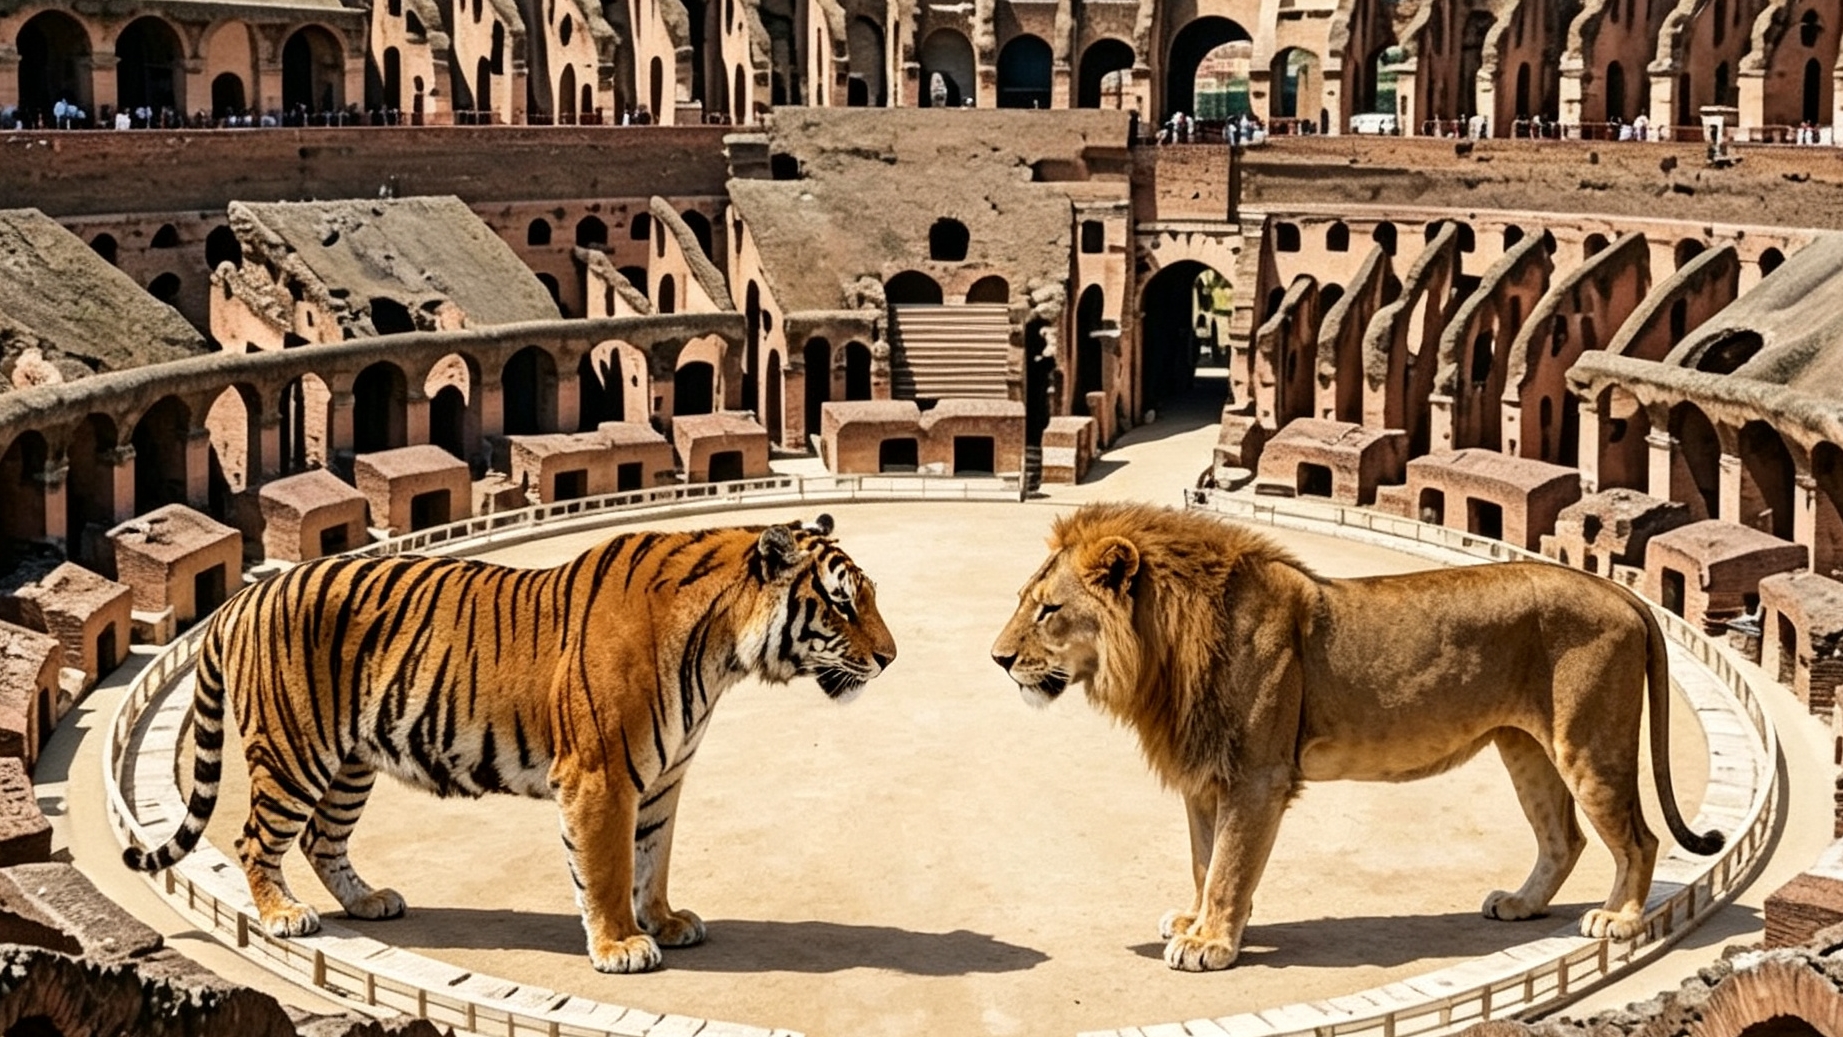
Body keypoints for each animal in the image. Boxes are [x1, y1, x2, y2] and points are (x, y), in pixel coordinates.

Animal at [124, 514, 895, 973]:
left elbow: (653, 858)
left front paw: (665, 920)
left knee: (322, 838)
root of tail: (239, 598)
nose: (890, 658)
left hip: (349, 764)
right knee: (257, 837)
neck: (722, 653)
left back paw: (369, 900)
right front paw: (620, 944)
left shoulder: (664, 778)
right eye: (841, 602)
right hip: (295, 752)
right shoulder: (601, 775)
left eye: (867, 595)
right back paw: (284, 915)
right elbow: (608, 867)